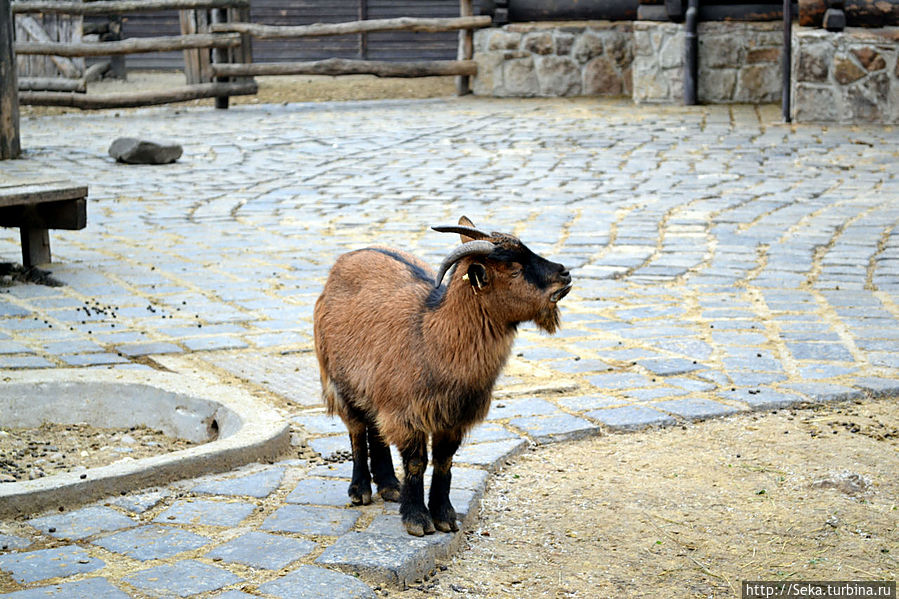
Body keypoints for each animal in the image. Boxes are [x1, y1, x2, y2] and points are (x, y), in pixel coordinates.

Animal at [312, 218, 572, 536]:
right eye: (513, 268)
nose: (564, 273)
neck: (431, 336)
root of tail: (347, 258)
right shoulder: (407, 413)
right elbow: (416, 463)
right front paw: (417, 519)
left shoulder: (452, 417)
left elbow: (444, 462)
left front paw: (445, 516)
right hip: (339, 380)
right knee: (357, 431)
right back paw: (360, 490)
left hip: (373, 389)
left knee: (376, 430)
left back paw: (390, 486)